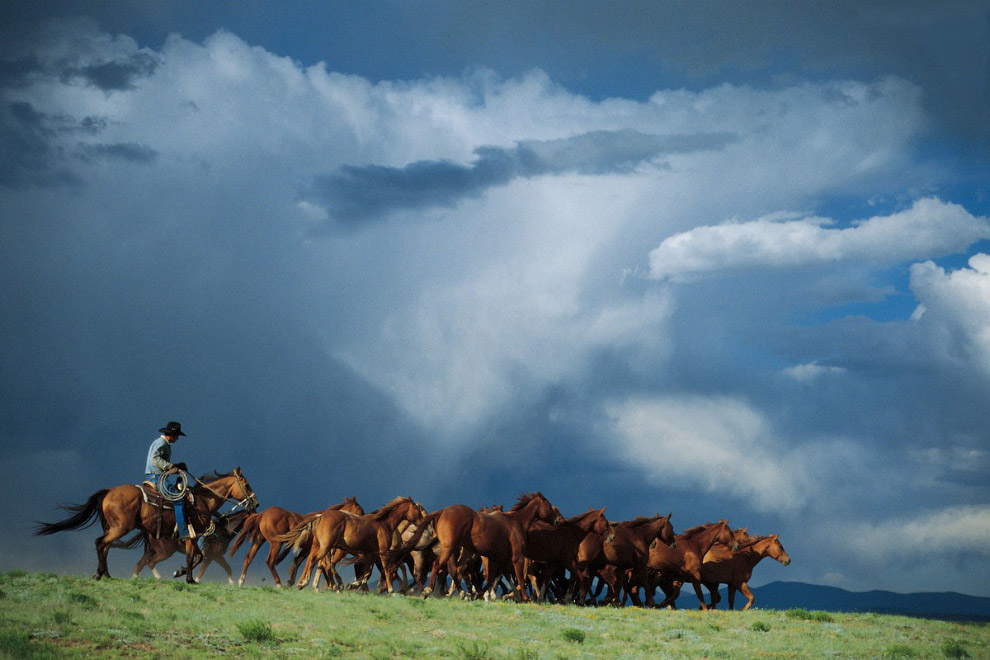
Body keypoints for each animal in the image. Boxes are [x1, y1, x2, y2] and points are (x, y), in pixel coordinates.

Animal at [35, 470, 258, 584]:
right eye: (246, 485)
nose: (255, 503)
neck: (202, 501)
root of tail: (108, 492)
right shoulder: (193, 536)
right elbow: (195, 557)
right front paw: (187, 578)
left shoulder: (193, 539)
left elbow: (197, 557)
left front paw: (182, 574)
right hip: (121, 529)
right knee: (101, 544)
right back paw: (99, 574)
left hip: (114, 529)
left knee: (107, 547)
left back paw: (107, 574)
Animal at [231, 500, 366, 588]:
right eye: (360, 510)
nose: (363, 522)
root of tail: (263, 513)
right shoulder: (314, 548)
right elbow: (314, 563)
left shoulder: (308, 548)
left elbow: (299, 561)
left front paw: (292, 582)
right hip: (276, 543)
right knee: (270, 561)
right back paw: (279, 583)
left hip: (259, 540)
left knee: (248, 558)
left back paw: (241, 581)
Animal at [288, 496, 424, 592]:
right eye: (418, 510)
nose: (423, 522)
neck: (384, 524)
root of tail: (320, 517)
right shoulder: (382, 553)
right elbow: (386, 569)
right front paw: (390, 590)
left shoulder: (371, 554)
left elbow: (367, 572)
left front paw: (358, 586)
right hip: (326, 547)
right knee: (316, 561)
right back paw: (307, 583)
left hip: (319, 546)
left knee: (312, 561)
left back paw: (305, 584)